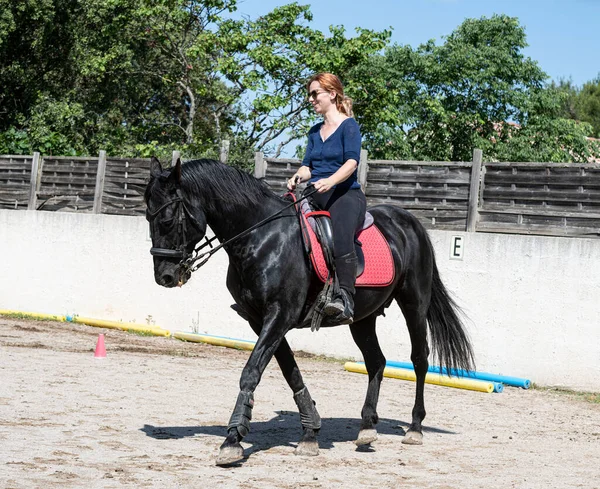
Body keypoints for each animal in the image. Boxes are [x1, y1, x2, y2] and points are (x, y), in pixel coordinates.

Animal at [144, 156, 474, 466]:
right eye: (148, 217)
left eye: (168, 219)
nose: (165, 277)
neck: (262, 236)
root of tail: (410, 221)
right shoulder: (260, 320)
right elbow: (290, 370)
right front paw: (310, 432)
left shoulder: (279, 315)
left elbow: (251, 372)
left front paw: (232, 440)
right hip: (362, 317)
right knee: (376, 362)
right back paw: (367, 428)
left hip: (414, 304)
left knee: (419, 359)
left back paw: (415, 428)